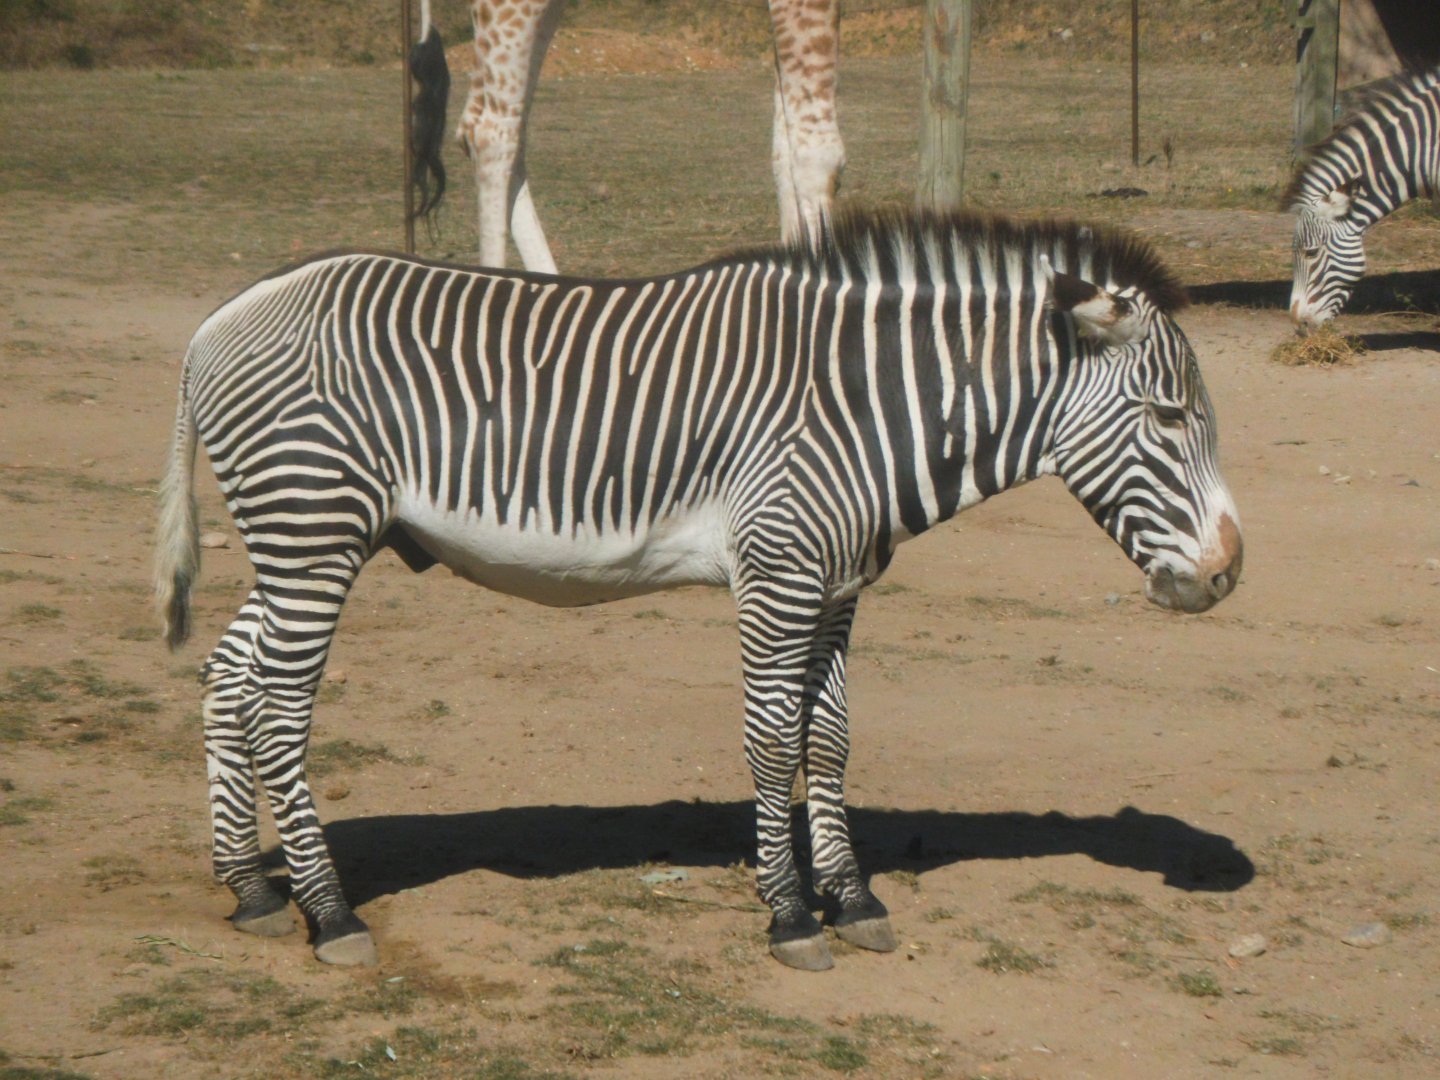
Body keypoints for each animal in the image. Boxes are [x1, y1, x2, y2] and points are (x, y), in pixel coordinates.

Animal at [154, 209, 1243, 972]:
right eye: (1165, 415)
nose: (1229, 571)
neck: (861, 405)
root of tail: (219, 319)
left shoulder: (838, 587)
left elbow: (828, 740)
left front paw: (854, 900)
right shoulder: (777, 573)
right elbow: (770, 741)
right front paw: (792, 915)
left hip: (303, 542)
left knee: (227, 680)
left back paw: (252, 891)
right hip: (313, 534)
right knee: (278, 708)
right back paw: (329, 912)